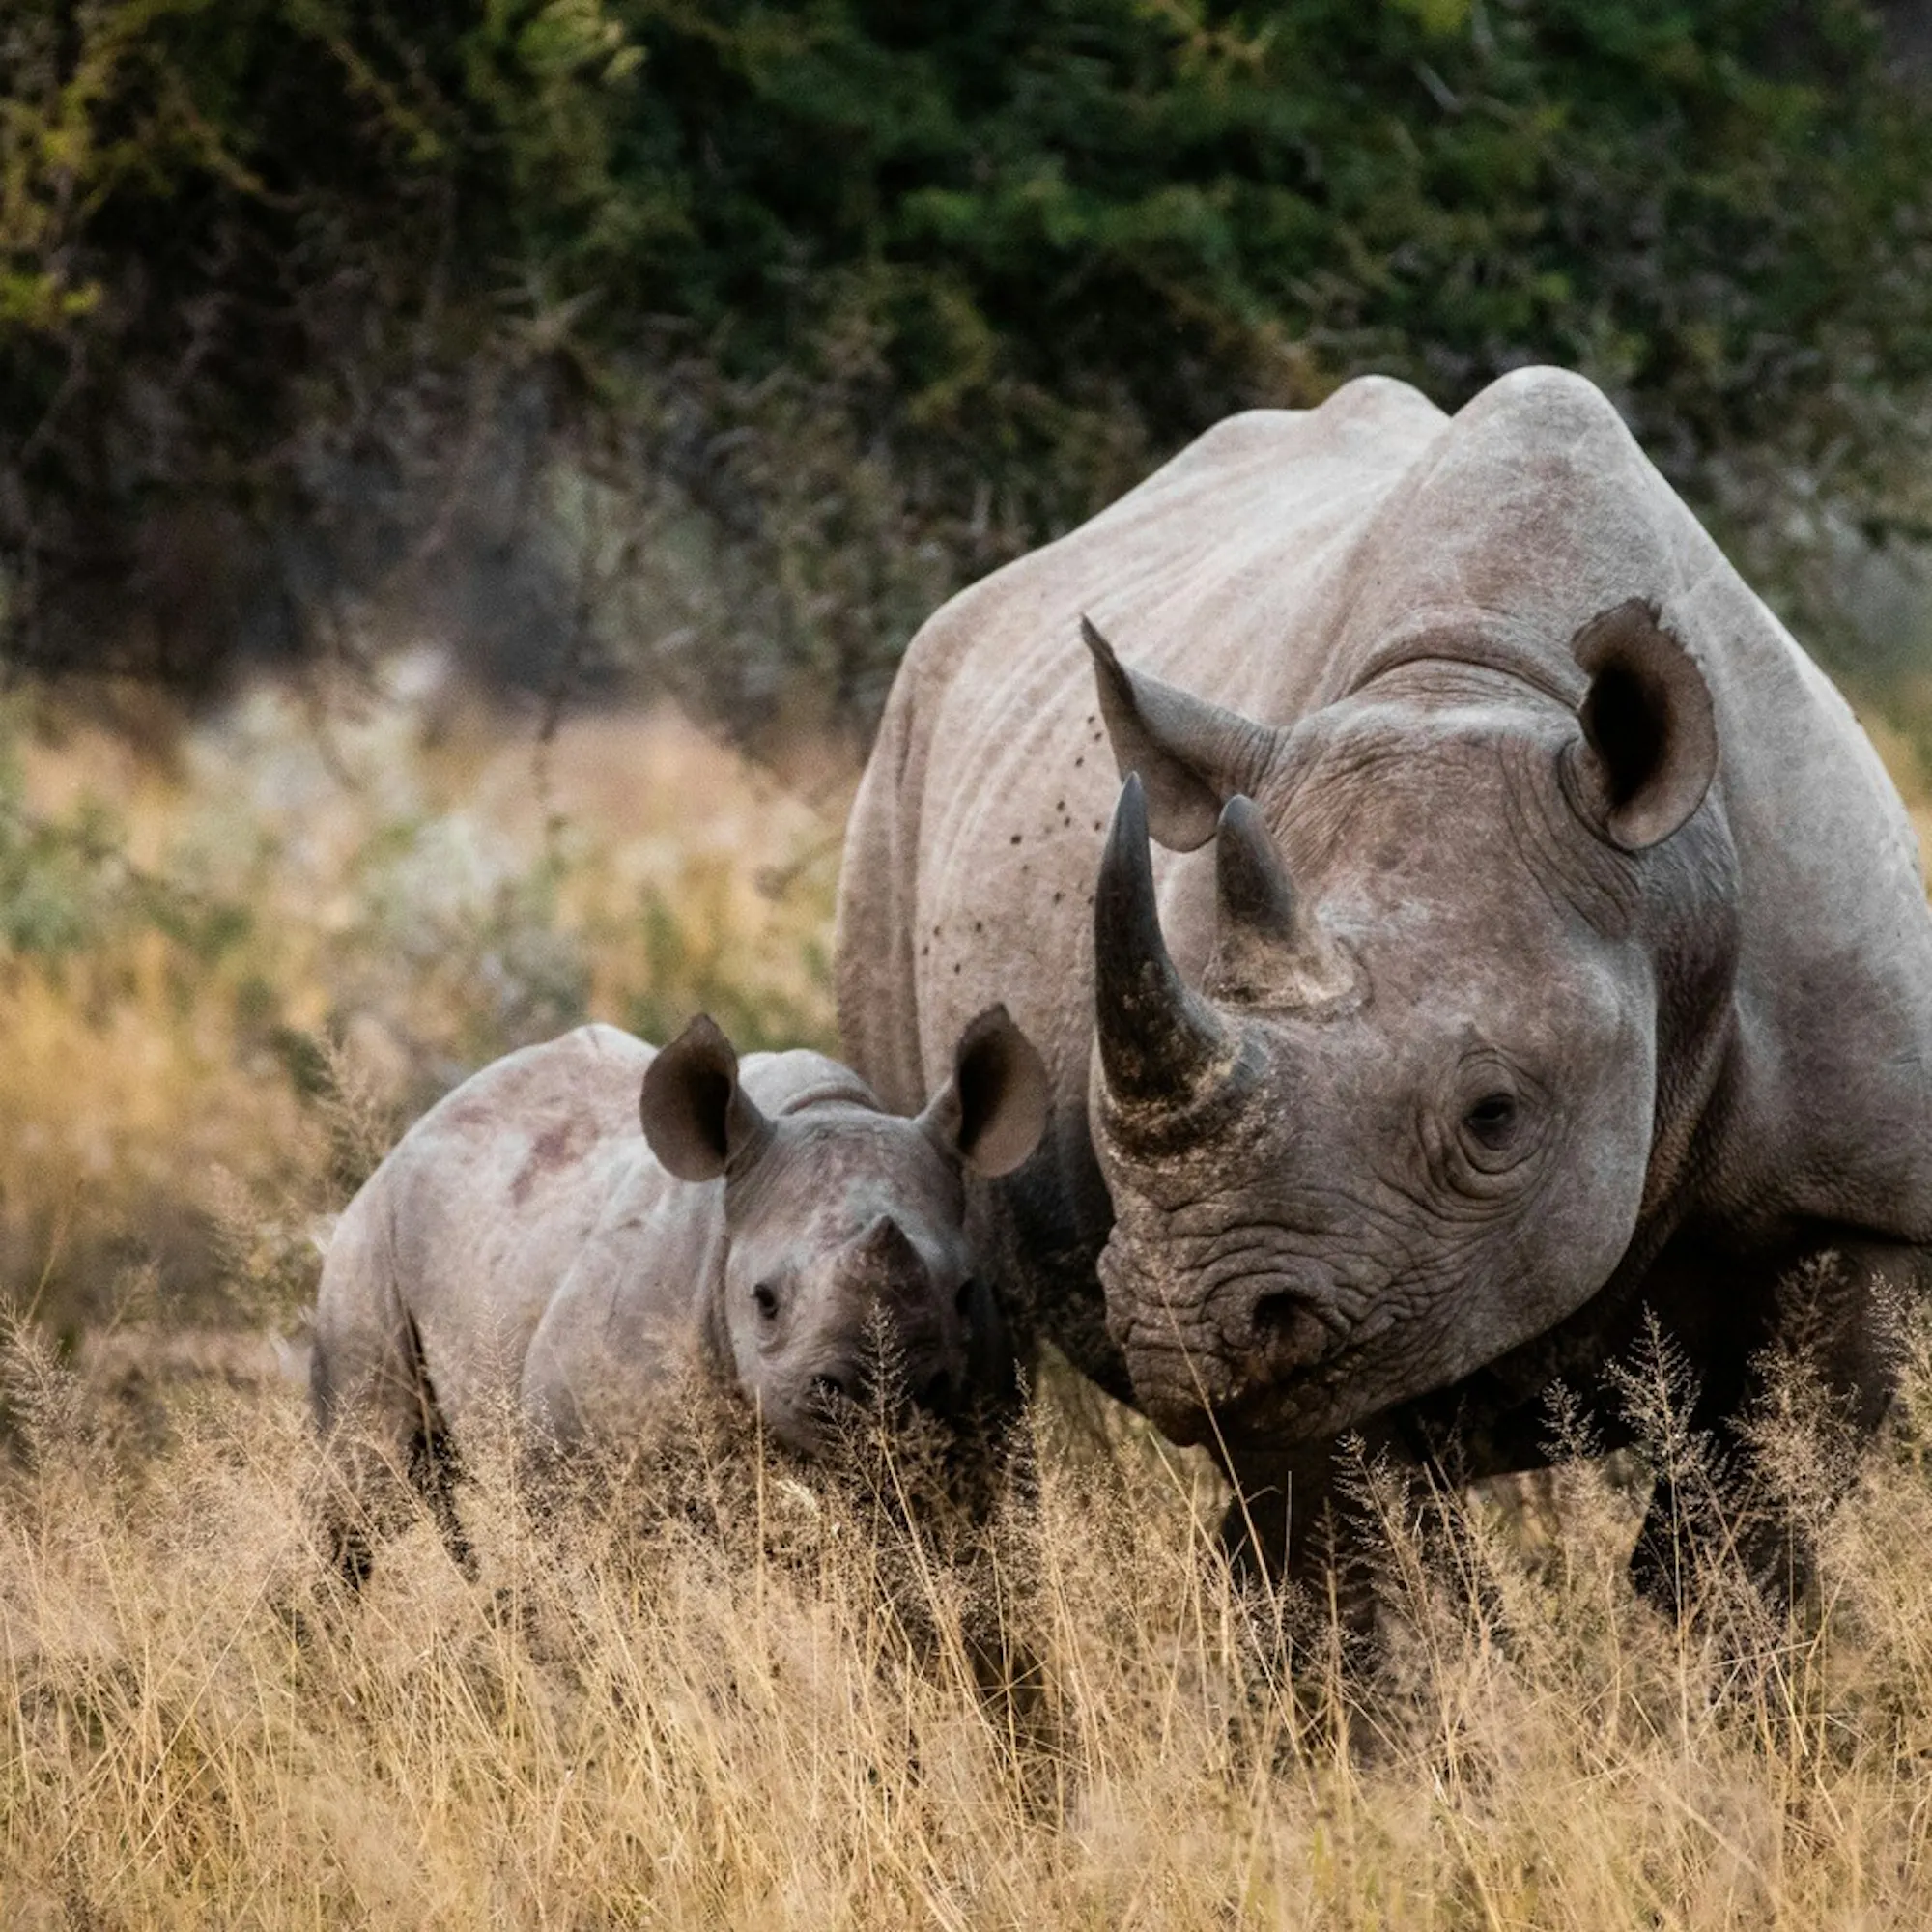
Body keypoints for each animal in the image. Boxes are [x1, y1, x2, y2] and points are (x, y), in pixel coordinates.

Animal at [310, 1008, 1047, 1583]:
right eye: (764, 1300)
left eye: (963, 1294)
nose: (878, 1399)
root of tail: (417, 1128)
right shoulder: (573, 1460)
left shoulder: (984, 1448)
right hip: (365, 1246)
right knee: (360, 1489)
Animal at [836, 365, 1932, 1615]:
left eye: (1494, 1116)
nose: (1186, 1327)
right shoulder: (1335, 1269)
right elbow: (1358, 1559)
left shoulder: (1859, 1201)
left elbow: (1745, 1527)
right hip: (893, 788)